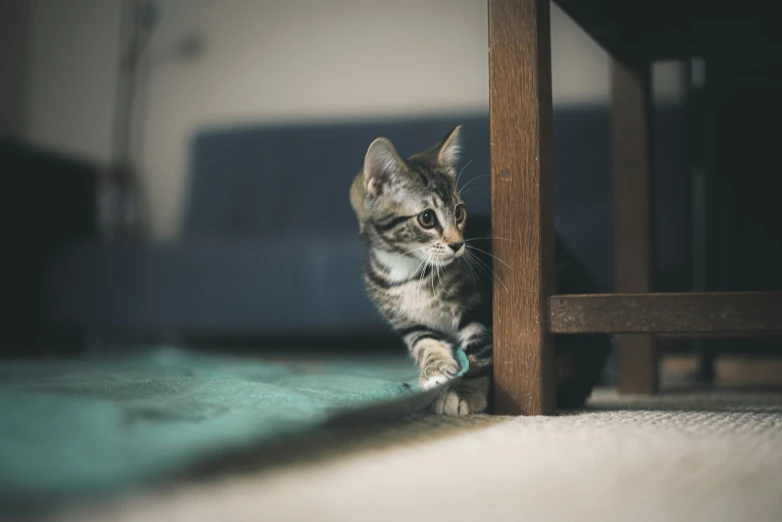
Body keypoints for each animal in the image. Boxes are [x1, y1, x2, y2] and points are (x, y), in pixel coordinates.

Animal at [350, 124, 612, 412]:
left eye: (459, 213)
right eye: (427, 218)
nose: (457, 245)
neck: (409, 270)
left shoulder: (478, 306)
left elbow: (478, 352)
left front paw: (464, 392)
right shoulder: (408, 323)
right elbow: (424, 342)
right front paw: (435, 370)